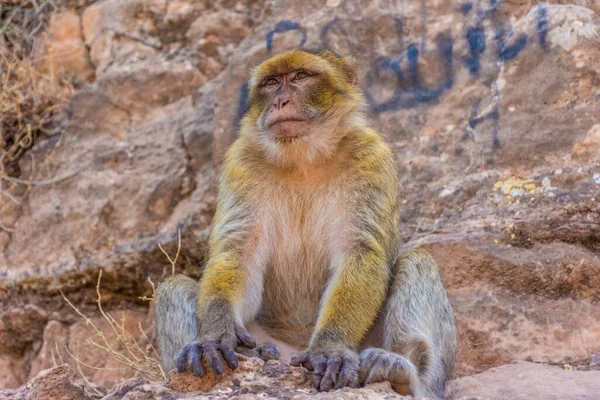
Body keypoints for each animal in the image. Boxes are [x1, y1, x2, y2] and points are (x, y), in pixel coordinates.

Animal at [155, 48, 454, 398]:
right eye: (272, 82)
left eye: (299, 77)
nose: (280, 102)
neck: (304, 161)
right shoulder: (242, 161)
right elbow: (239, 252)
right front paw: (214, 335)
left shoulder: (372, 157)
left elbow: (360, 252)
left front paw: (330, 348)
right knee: (173, 287)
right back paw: (253, 353)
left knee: (416, 261)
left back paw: (404, 374)